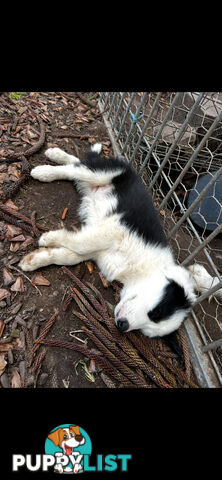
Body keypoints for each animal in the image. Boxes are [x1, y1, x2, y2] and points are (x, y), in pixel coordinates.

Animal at [19, 142, 196, 338]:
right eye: (156, 313)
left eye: (146, 330)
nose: (122, 326)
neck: (140, 267)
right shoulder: (114, 230)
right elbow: (80, 244)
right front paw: (48, 238)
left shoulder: (98, 249)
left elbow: (70, 256)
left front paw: (35, 260)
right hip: (104, 174)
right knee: (75, 169)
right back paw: (45, 169)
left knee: (78, 163)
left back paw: (56, 157)